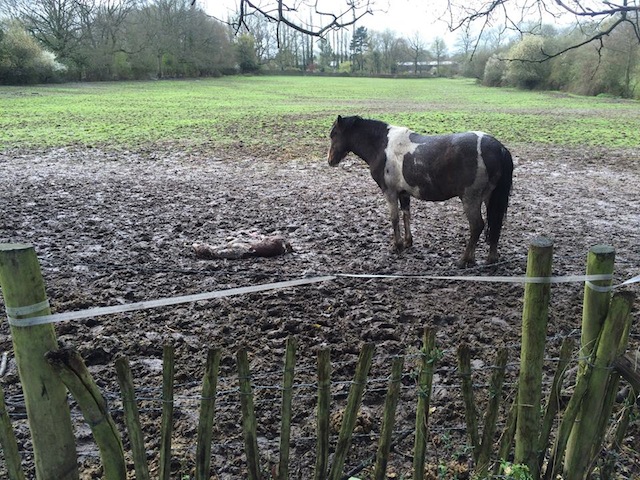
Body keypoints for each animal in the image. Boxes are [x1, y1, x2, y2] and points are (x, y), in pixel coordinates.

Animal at [327, 115, 513, 267]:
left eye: (333, 135)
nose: (330, 161)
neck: (382, 145)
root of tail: (499, 148)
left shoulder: (390, 192)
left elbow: (394, 218)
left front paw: (397, 245)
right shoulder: (403, 193)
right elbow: (406, 215)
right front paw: (407, 242)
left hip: (470, 199)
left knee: (477, 226)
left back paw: (464, 260)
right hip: (489, 198)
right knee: (495, 223)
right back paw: (490, 258)